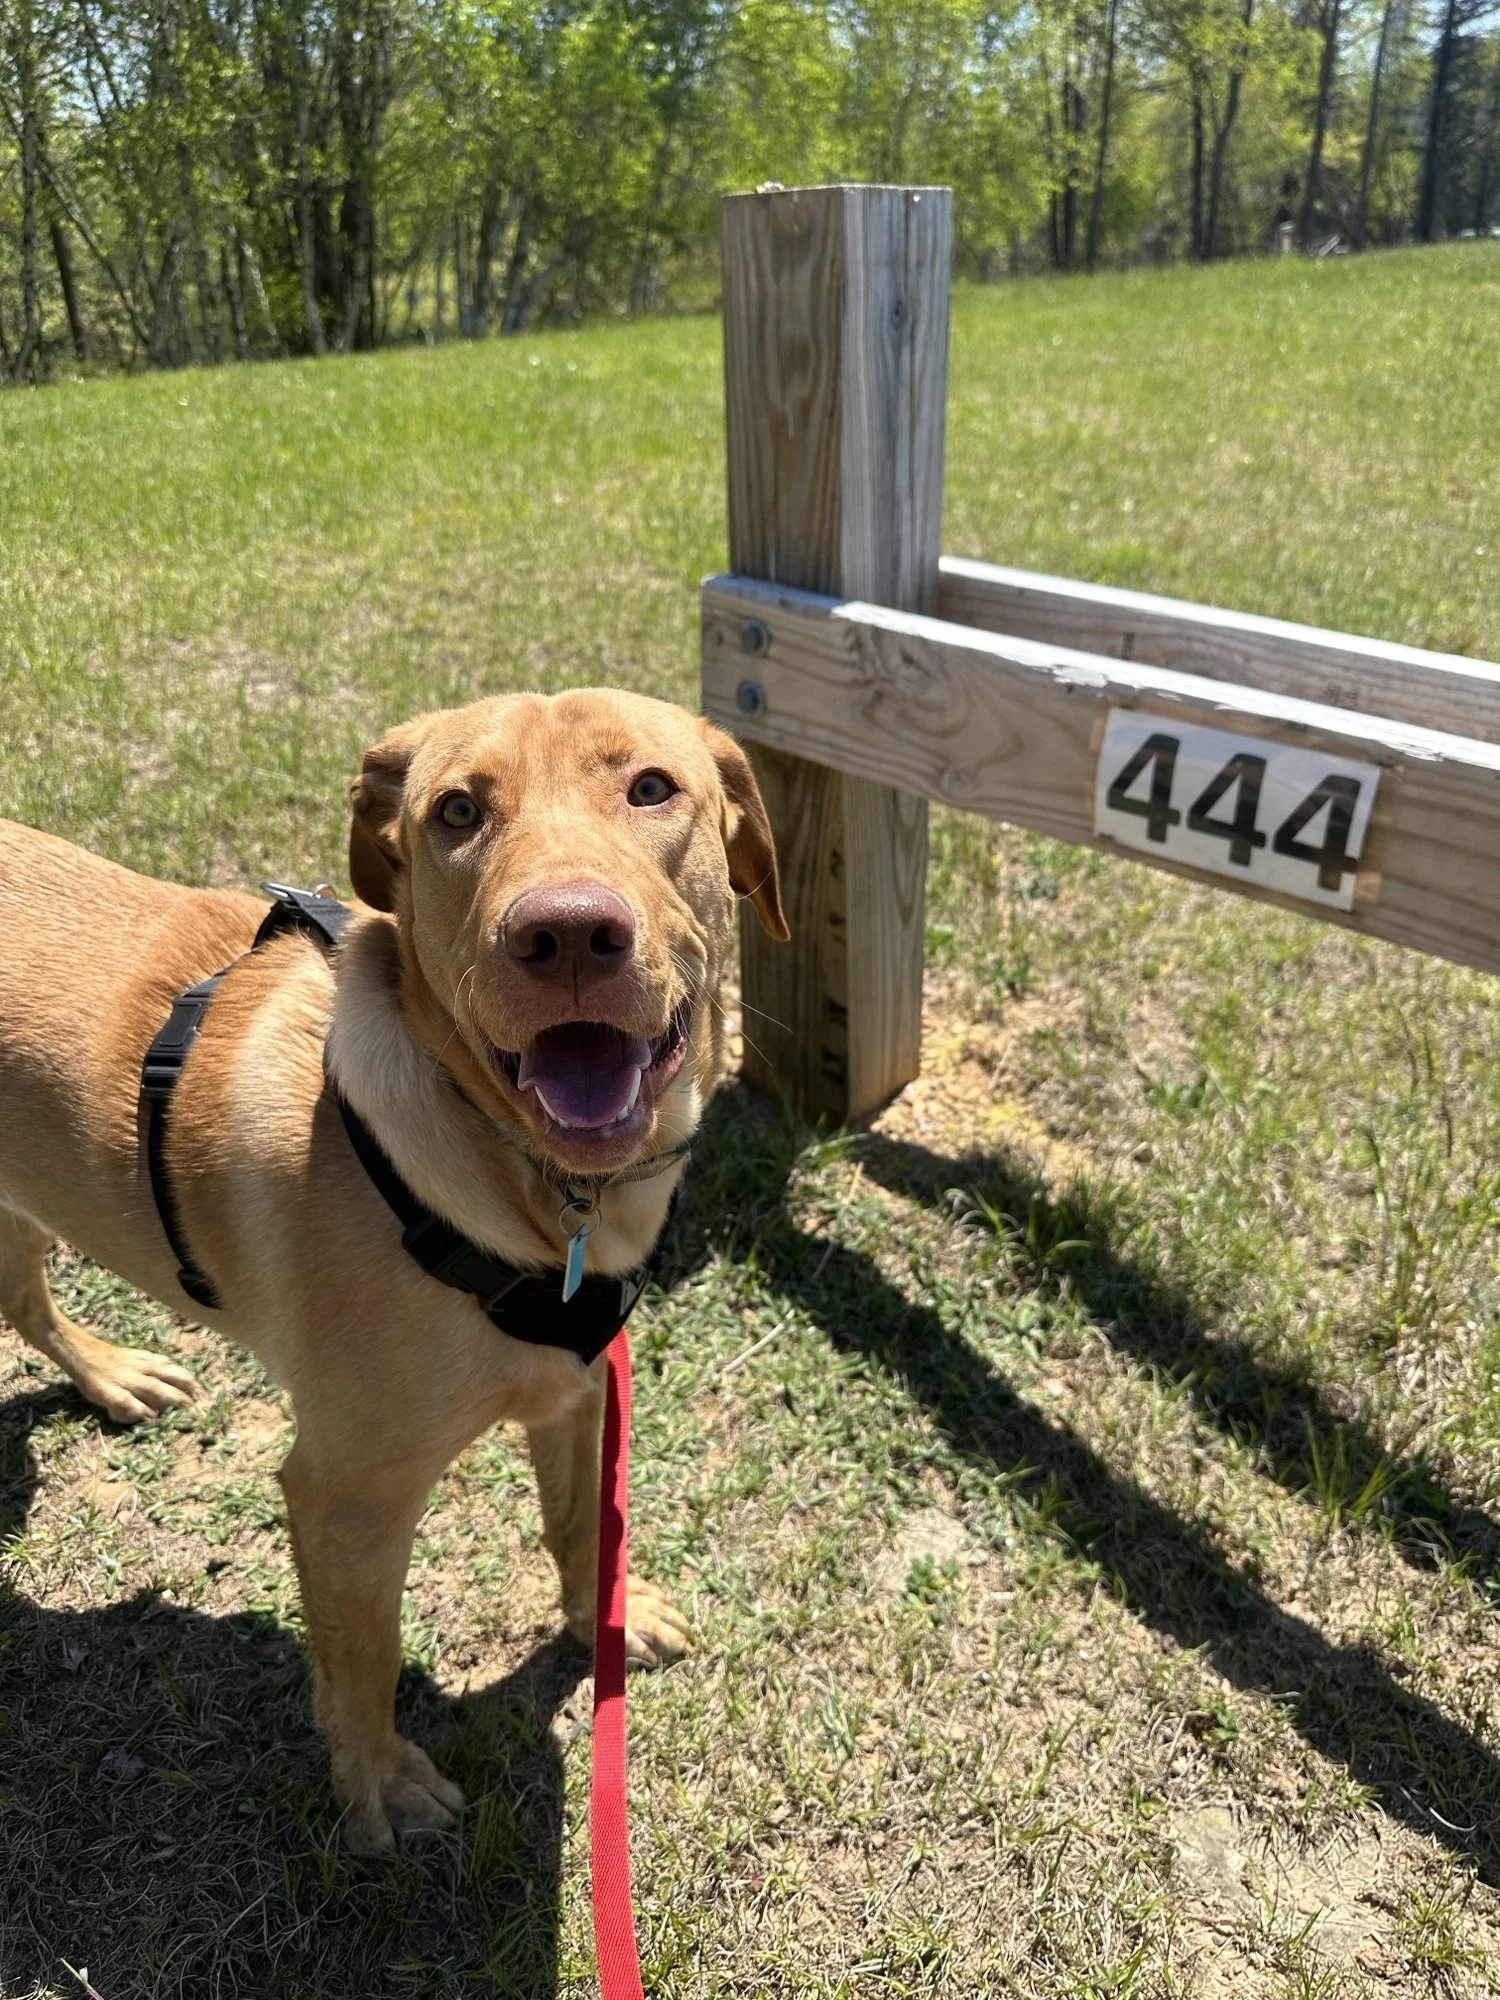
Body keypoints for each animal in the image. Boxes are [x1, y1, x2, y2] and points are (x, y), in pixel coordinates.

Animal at [0, 688, 788, 1850]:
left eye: (652, 786)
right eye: (457, 810)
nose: (566, 934)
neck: (541, 1190)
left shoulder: (576, 1386)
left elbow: (581, 1525)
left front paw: (607, 1619)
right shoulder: (348, 1496)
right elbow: (364, 1662)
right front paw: (378, 1785)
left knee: (23, 1291)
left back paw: (113, 1376)